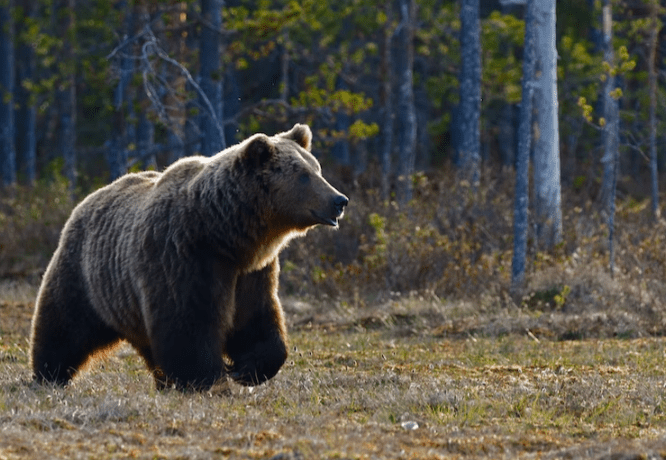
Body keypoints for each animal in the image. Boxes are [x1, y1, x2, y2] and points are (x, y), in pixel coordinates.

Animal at [28, 124, 348, 390]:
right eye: (304, 176)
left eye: (317, 169)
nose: (340, 200)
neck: (225, 234)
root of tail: (88, 199)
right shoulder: (184, 257)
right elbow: (188, 324)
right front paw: (207, 379)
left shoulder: (252, 272)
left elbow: (256, 319)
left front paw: (247, 369)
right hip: (86, 274)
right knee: (63, 325)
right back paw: (48, 374)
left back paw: (162, 381)